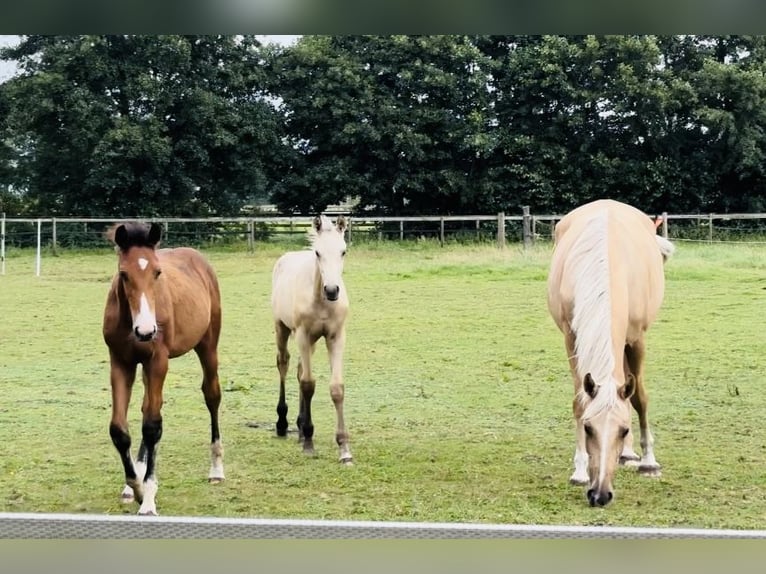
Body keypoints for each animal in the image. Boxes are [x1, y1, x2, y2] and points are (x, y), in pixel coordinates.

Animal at [102, 221, 225, 515]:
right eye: (124, 274)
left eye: (157, 272)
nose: (146, 331)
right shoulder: (120, 362)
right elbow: (119, 429)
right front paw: (133, 486)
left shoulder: (158, 360)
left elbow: (152, 426)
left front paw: (147, 498)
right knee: (146, 406)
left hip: (208, 345)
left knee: (212, 394)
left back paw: (216, 469)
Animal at [271, 215, 353, 465]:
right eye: (317, 252)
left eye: (343, 251)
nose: (332, 290)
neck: (321, 301)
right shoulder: (303, 335)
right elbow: (308, 384)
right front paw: (308, 441)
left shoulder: (335, 337)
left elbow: (336, 387)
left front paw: (344, 448)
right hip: (282, 329)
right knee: (284, 364)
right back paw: (283, 424)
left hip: (312, 341)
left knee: (298, 371)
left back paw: (298, 426)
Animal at [546, 199, 674, 507]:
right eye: (588, 428)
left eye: (624, 429)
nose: (600, 494)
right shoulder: (571, 338)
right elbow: (580, 401)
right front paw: (579, 470)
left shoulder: (637, 339)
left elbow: (639, 398)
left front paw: (649, 462)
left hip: (628, 344)